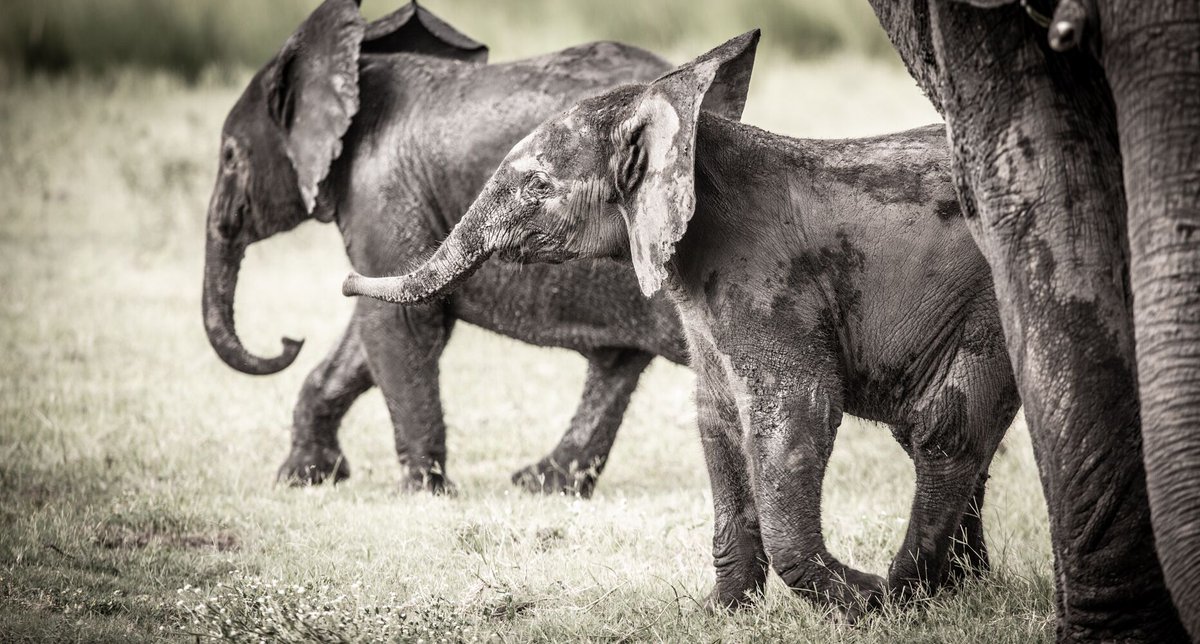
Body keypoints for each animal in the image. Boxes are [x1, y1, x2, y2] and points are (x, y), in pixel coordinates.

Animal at [201, 0, 687, 497]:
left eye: (230, 157)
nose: (290, 339)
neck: (354, 67)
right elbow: (378, 325)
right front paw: (303, 477)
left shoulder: (384, 192)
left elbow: (399, 321)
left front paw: (423, 491)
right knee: (618, 362)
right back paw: (541, 484)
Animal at [343, 31, 1021, 615]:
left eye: (537, 185)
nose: (348, 279)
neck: (687, 140)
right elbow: (716, 423)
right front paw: (722, 614)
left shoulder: (765, 282)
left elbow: (797, 410)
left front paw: (863, 600)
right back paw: (954, 591)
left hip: (990, 303)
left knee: (946, 429)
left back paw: (909, 594)